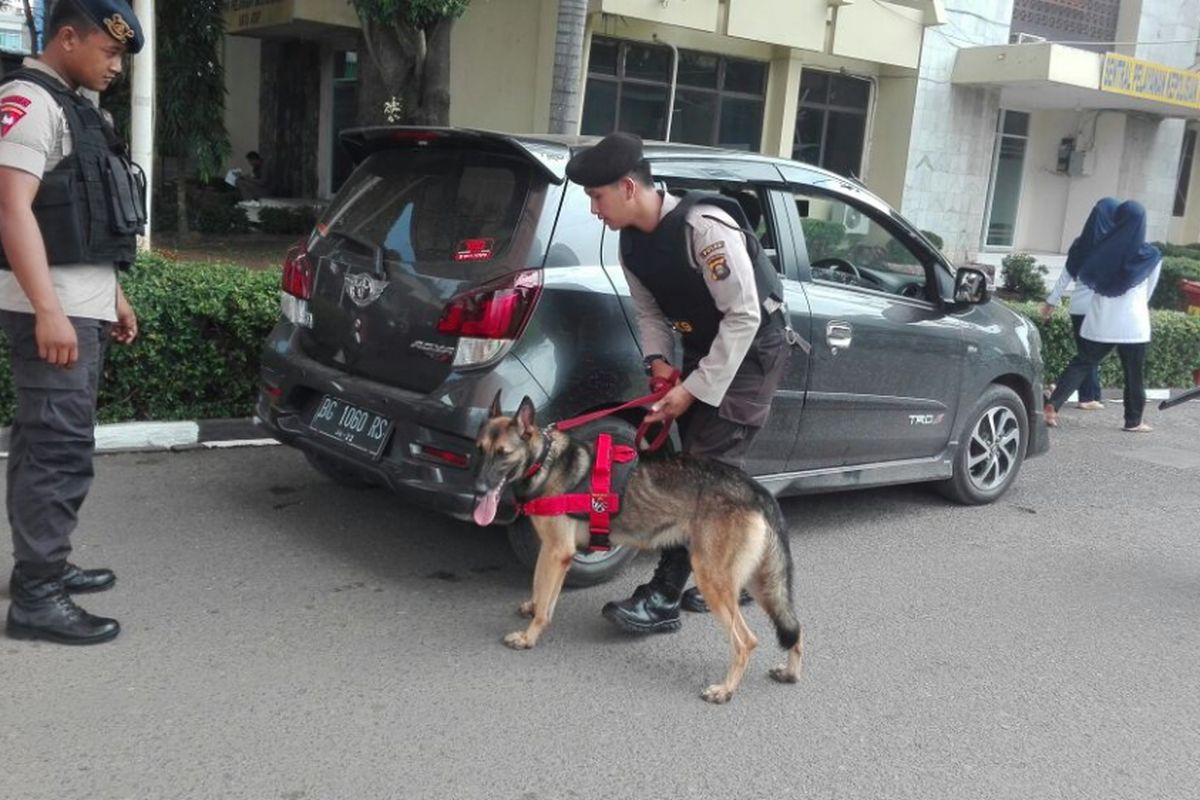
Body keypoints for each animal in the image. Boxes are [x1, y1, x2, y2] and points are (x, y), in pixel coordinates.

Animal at [470, 398, 806, 705]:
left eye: (503, 454)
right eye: (479, 449)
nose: (478, 490)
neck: (546, 460)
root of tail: (755, 489)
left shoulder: (556, 552)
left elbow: (542, 598)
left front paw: (528, 637)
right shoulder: (557, 555)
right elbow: (544, 595)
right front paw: (534, 608)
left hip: (713, 579)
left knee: (746, 642)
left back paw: (725, 690)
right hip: (759, 583)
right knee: (795, 627)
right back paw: (790, 672)